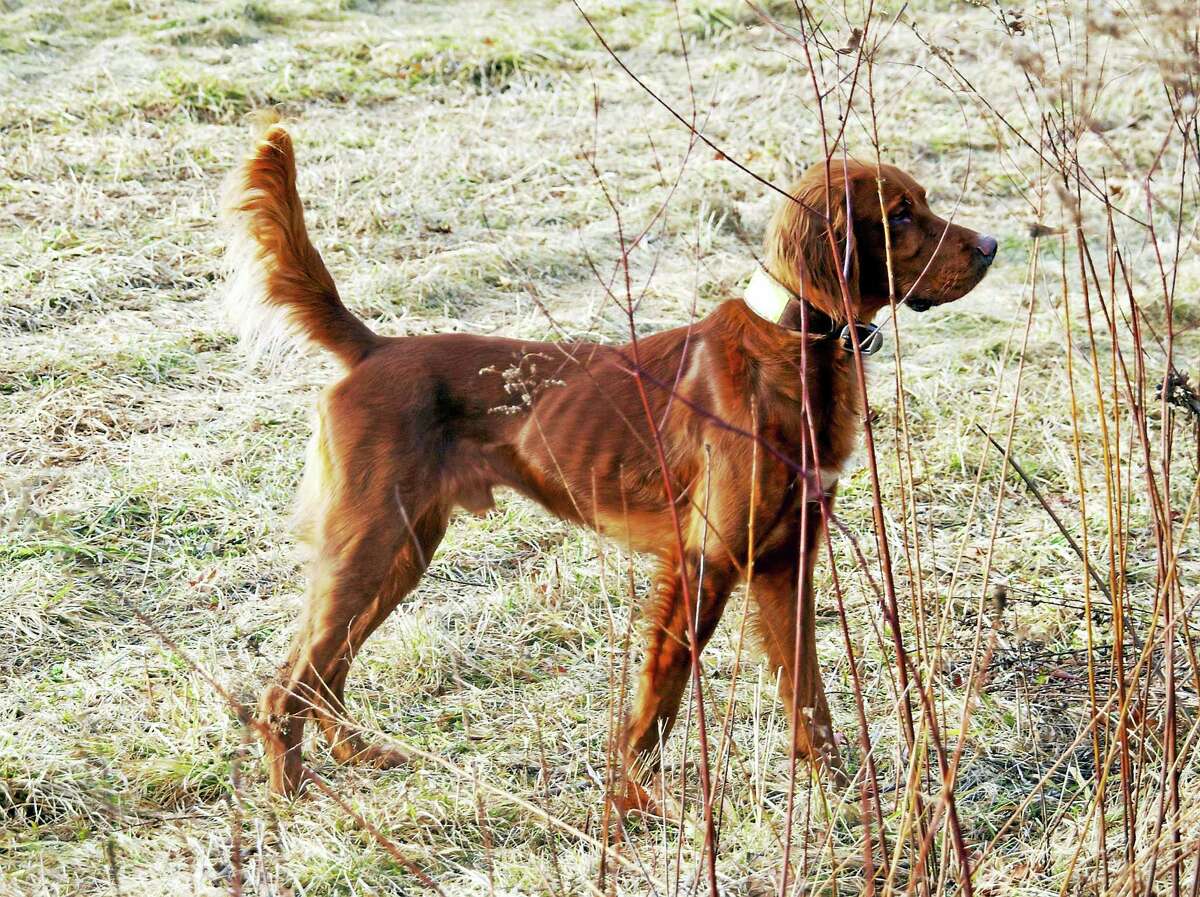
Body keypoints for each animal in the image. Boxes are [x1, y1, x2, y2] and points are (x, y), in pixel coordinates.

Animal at [223, 124, 993, 805]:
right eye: (900, 215)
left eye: (923, 200)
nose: (992, 245)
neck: (795, 347)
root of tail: (374, 350)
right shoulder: (703, 562)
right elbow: (662, 698)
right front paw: (636, 804)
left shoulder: (785, 563)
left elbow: (810, 701)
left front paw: (845, 803)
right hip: (371, 542)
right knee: (287, 681)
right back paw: (292, 797)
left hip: (402, 549)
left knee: (324, 668)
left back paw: (354, 755)